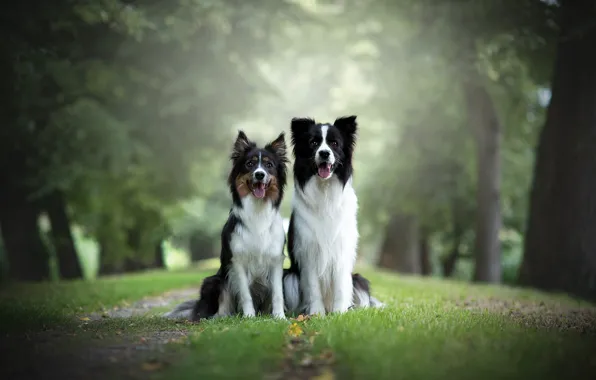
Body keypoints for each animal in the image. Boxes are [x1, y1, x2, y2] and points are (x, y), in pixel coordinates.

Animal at [165, 131, 288, 320]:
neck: (257, 210)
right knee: (221, 304)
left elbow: (277, 294)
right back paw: (219, 318)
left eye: (269, 165)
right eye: (250, 164)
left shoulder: (275, 260)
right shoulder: (237, 260)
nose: (260, 174)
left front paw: (279, 317)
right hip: (213, 280)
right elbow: (245, 294)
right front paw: (249, 317)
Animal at [282, 115, 382, 314]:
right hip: (289, 278)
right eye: (313, 143)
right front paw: (317, 314)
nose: (324, 153)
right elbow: (313, 287)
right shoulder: (309, 251)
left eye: (334, 143)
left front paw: (340, 313)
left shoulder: (341, 250)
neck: (324, 190)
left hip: (358, 279)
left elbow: (341, 286)